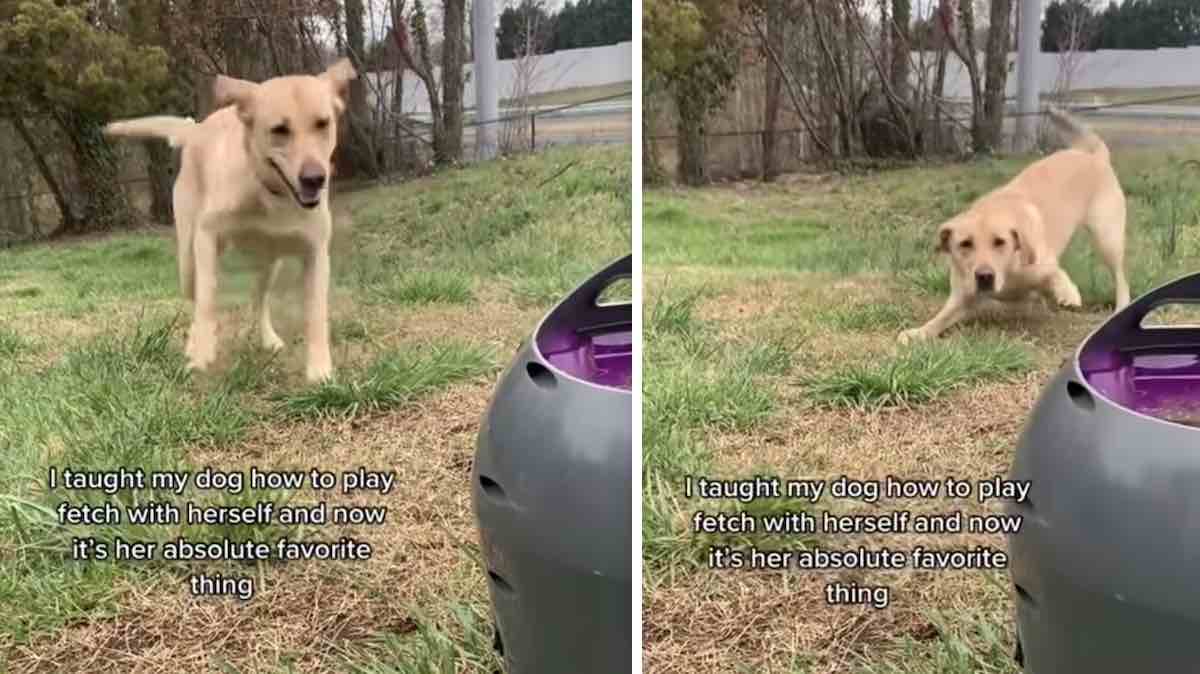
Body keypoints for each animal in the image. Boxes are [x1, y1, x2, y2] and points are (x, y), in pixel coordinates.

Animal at [106, 60, 355, 381]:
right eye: (279, 130)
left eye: (323, 124)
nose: (314, 178)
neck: (271, 194)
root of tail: (197, 129)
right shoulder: (207, 236)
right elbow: (207, 300)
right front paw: (201, 355)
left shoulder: (315, 253)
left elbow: (315, 313)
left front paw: (320, 372)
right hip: (188, 259)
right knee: (196, 297)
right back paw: (193, 342)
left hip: (270, 263)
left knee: (259, 299)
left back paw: (268, 339)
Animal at [902, 109, 1128, 342]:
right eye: (965, 244)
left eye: (1000, 242)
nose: (984, 277)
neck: (1008, 271)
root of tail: (1095, 156)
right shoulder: (963, 297)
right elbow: (940, 319)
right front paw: (918, 332)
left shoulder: (1043, 261)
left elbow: (1053, 272)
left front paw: (1066, 291)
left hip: (1107, 239)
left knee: (1121, 278)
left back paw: (1120, 307)